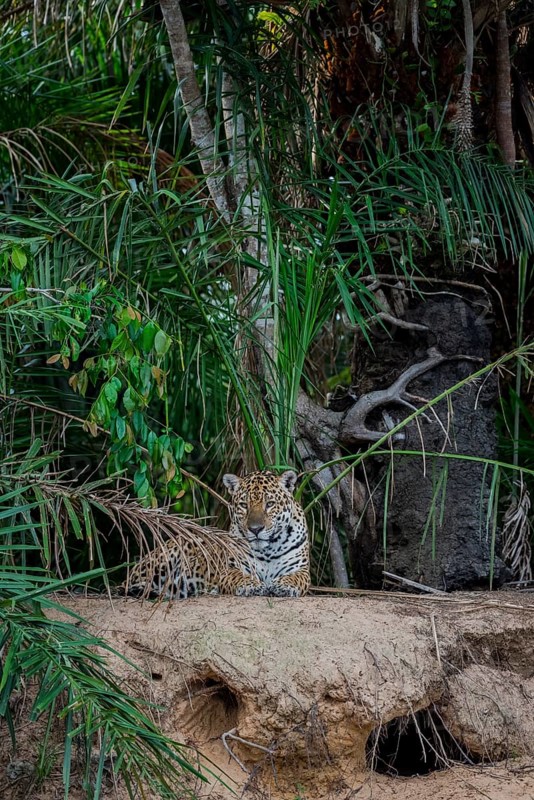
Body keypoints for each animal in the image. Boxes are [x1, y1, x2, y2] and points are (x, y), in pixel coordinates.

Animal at [122, 469, 310, 599]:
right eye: (244, 505)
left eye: (270, 504)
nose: (255, 529)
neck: (267, 550)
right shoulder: (229, 569)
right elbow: (239, 576)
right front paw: (251, 585)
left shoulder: (301, 570)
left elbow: (295, 578)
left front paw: (284, 586)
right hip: (165, 557)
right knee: (129, 583)